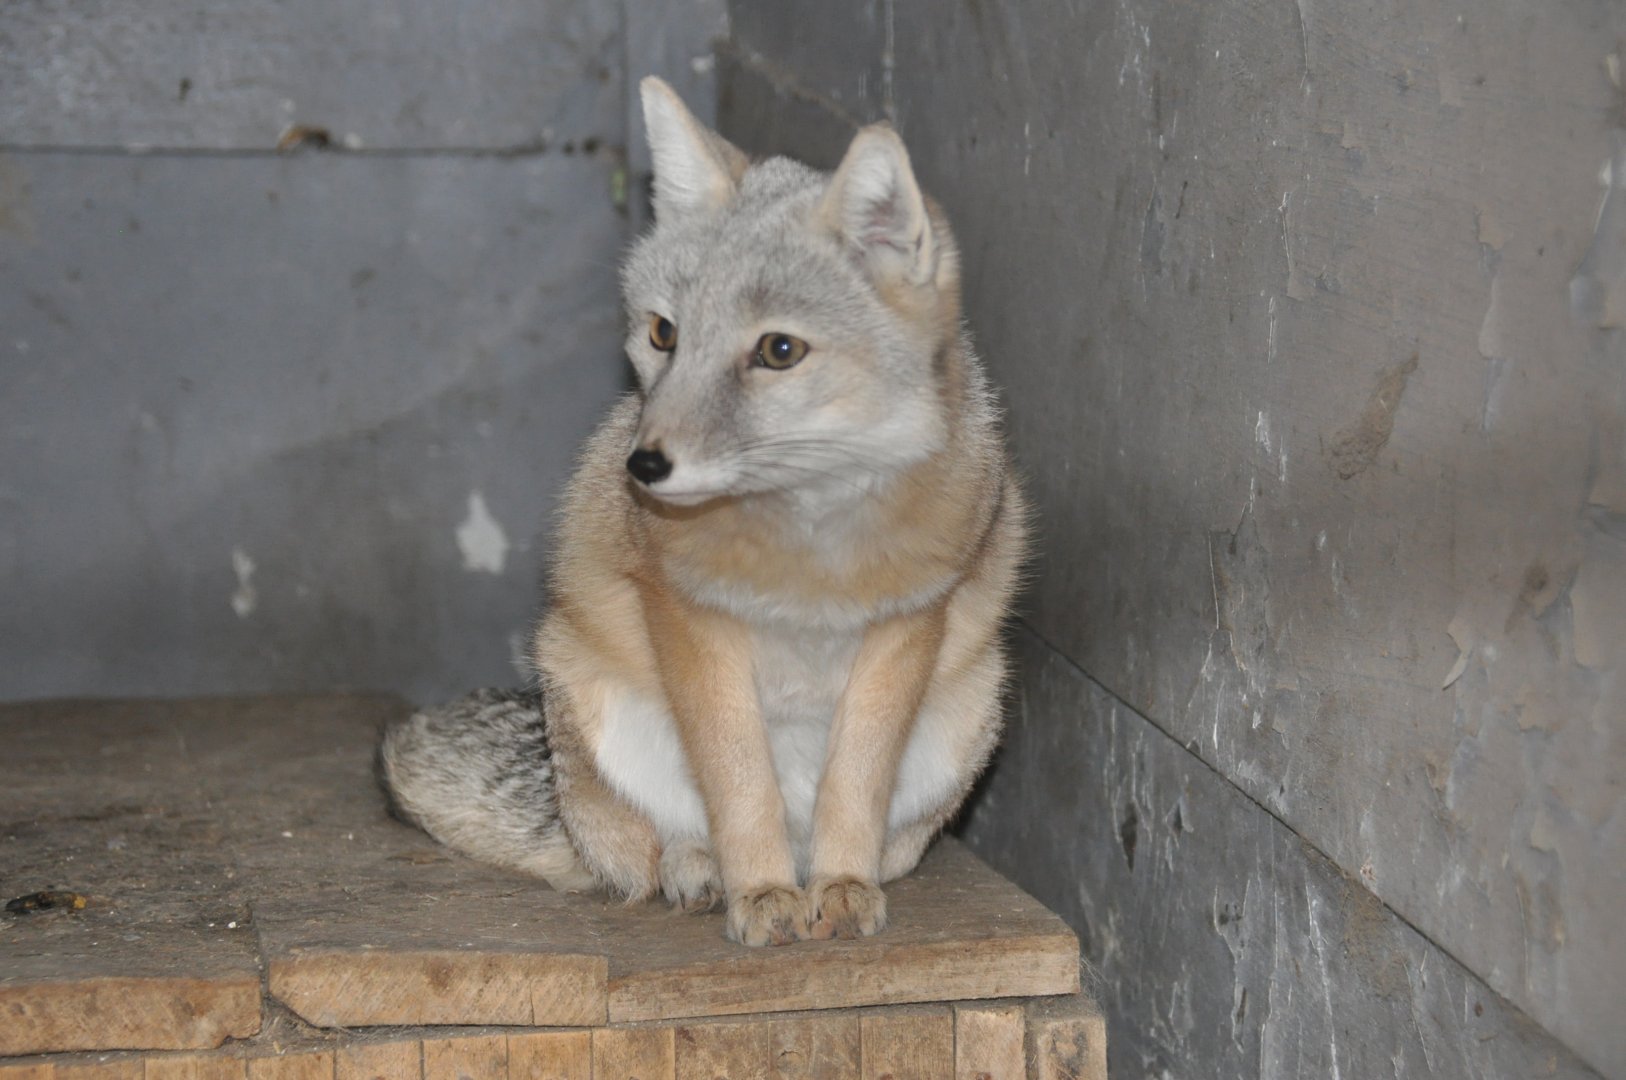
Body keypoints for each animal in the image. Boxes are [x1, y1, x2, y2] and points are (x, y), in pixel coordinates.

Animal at [380, 76, 1028, 947]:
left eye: (778, 351)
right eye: (663, 334)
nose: (643, 465)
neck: (809, 549)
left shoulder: (909, 623)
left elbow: (855, 784)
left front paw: (842, 884)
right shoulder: (691, 621)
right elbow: (739, 783)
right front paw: (760, 892)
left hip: (971, 708)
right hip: (597, 703)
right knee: (654, 853)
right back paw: (707, 874)